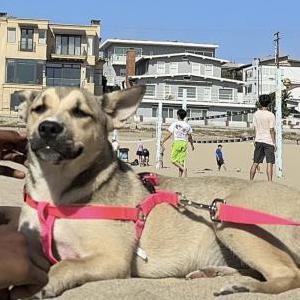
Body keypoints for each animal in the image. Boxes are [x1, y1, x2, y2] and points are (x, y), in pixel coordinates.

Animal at [17, 85, 300, 298]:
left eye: (81, 113)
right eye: (39, 109)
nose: (48, 127)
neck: (55, 193)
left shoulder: (111, 258)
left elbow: (65, 265)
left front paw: (43, 284)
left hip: (227, 218)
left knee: (289, 273)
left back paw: (246, 286)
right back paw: (217, 273)